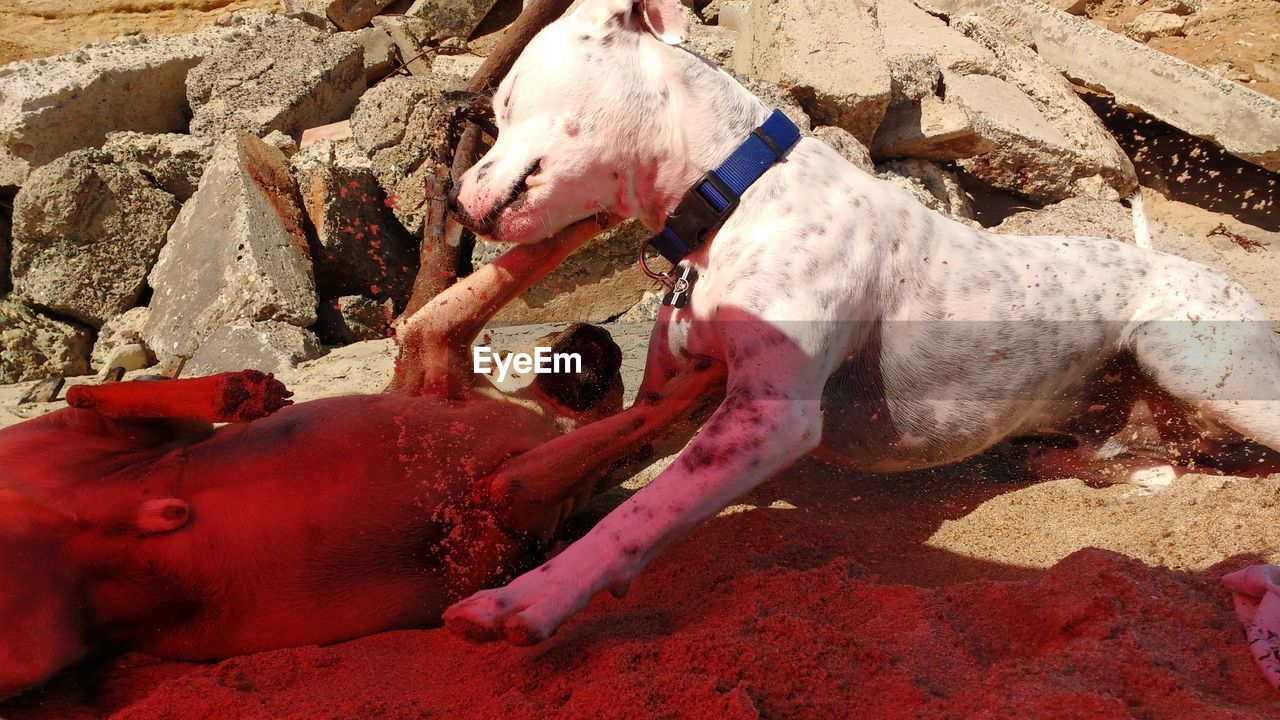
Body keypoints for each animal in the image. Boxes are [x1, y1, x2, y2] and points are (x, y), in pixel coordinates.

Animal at [0, 215, 727, 696]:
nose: (597, 342)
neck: (545, 411)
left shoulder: (525, 493)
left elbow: (650, 422)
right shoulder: (448, 365)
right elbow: (532, 273)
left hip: (39, 641)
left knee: (95, 404)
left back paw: (235, 393)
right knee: (90, 396)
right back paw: (238, 391)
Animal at [440, 0, 1280, 640]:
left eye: (506, 104)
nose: (455, 202)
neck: (732, 194)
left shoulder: (766, 417)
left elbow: (640, 514)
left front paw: (529, 597)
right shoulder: (677, 393)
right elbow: (591, 448)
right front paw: (508, 489)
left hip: (1191, 358)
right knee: (1152, 461)